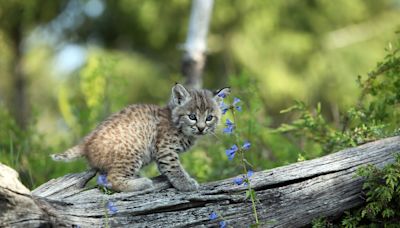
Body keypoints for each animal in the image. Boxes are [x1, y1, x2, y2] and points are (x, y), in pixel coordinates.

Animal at [51, 83, 230, 191]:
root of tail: (86, 141)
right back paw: (141, 183)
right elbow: (174, 168)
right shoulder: (166, 149)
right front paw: (185, 184)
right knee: (111, 179)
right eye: (192, 116)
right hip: (133, 150)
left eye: (209, 118)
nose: (201, 128)